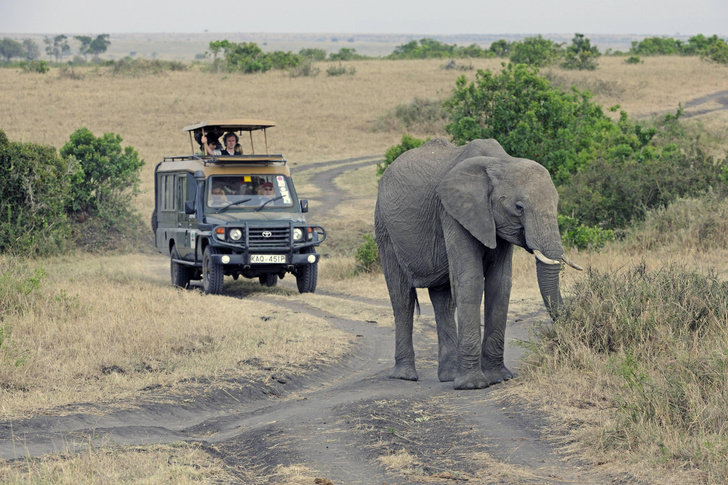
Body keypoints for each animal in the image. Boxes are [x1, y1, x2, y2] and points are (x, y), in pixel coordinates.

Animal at [376, 136, 580, 390]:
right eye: (519, 208)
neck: (501, 161)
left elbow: (500, 284)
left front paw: (499, 378)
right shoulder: (453, 212)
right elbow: (470, 280)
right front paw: (472, 385)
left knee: (443, 299)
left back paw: (449, 376)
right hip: (384, 227)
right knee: (402, 297)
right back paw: (405, 376)